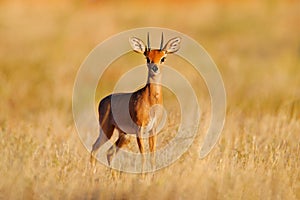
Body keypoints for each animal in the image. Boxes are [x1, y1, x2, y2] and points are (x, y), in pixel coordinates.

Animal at [90, 33, 182, 173]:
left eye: (163, 58)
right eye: (147, 58)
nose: (155, 68)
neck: (150, 101)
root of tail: (103, 100)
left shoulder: (153, 130)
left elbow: (152, 156)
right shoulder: (139, 129)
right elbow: (143, 156)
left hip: (123, 136)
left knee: (109, 152)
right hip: (107, 130)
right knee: (94, 149)